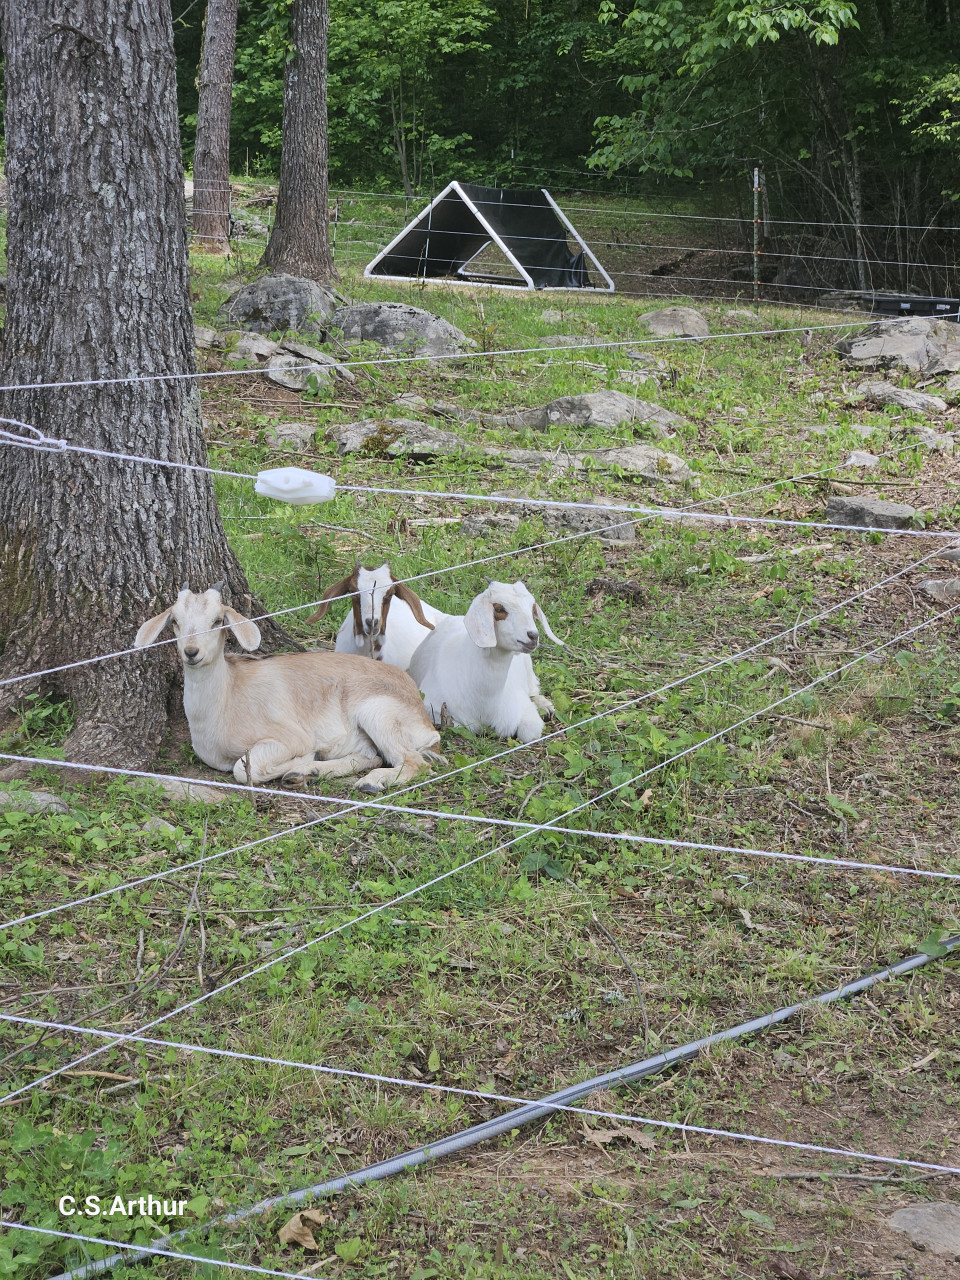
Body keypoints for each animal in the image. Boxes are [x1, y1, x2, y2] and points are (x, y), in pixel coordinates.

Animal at [135, 586, 442, 792]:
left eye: (217, 620)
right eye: (175, 621)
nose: (191, 652)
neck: (225, 700)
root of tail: (427, 723)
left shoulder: (290, 737)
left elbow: (244, 768)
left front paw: (302, 762)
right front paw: (307, 767)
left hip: (379, 713)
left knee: (415, 762)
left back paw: (369, 782)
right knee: (371, 755)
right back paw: (316, 771)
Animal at [408, 580, 561, 743]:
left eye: (532, 609)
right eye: (499, 609)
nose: (533, 636)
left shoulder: (523, 707)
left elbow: (530, 734)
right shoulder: (432, 706)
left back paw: (545, 706)